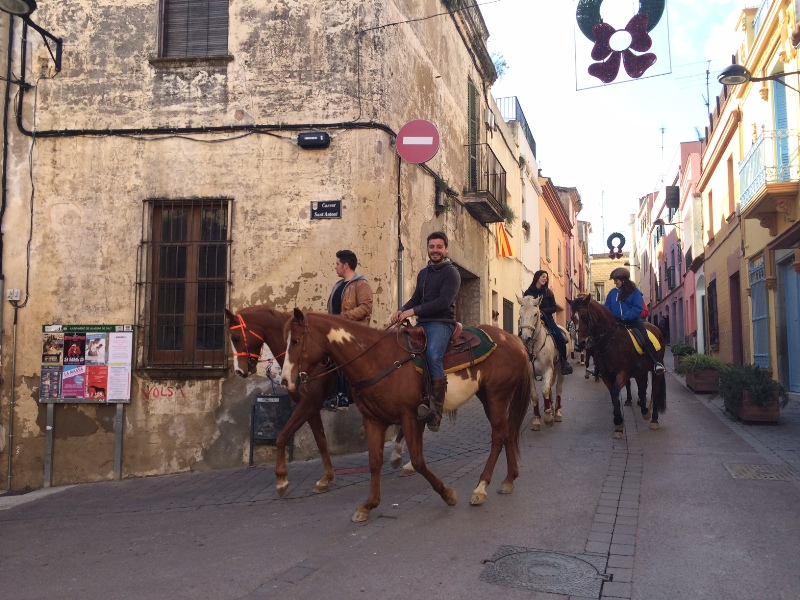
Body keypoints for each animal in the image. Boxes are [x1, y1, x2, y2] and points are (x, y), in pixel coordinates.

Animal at [223, 308, 340, 494]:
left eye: (235, 338)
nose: (239, 371)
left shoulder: (309, 403)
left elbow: (282, 435)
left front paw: (281, 479)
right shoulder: (311, 408)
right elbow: (321, 441)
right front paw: (327, 477)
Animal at [282, 312, 532, 524]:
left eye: (296, 341)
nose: (285, 381)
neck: (376, 360)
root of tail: (513, 340)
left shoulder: (410, 417)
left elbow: (419, 461)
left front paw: (447, 494)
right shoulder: (372, 421)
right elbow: (374, 462)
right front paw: (368, 505)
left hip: (498, 394)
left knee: (498, 435)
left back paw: (481, 487)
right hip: (488, 396)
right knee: (507, 432)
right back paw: (509, 479)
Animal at [520, 296, 568, 432]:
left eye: (535, 314)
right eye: (520, 314)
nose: (525, 338)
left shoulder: (548, 370)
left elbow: (545, 390)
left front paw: (548, 417)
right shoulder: (531, 374)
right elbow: (534, 395)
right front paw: (537, 419)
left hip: (559, 370)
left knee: (558, 389)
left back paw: (556, 413)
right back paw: (551, 408)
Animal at [568, 294, 668, 438]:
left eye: (585, 316)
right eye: (572, 318)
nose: (580, 344)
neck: (610, 340)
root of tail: (656, 329)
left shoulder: (623, 372)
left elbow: (615, 391)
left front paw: (618, 421)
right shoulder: (606, 375)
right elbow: (613, 394)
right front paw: (618, 424)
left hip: (655, 371)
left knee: (654, 390)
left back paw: (654, 420)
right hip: (640, 371)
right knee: (642, 388)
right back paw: (644, 410)